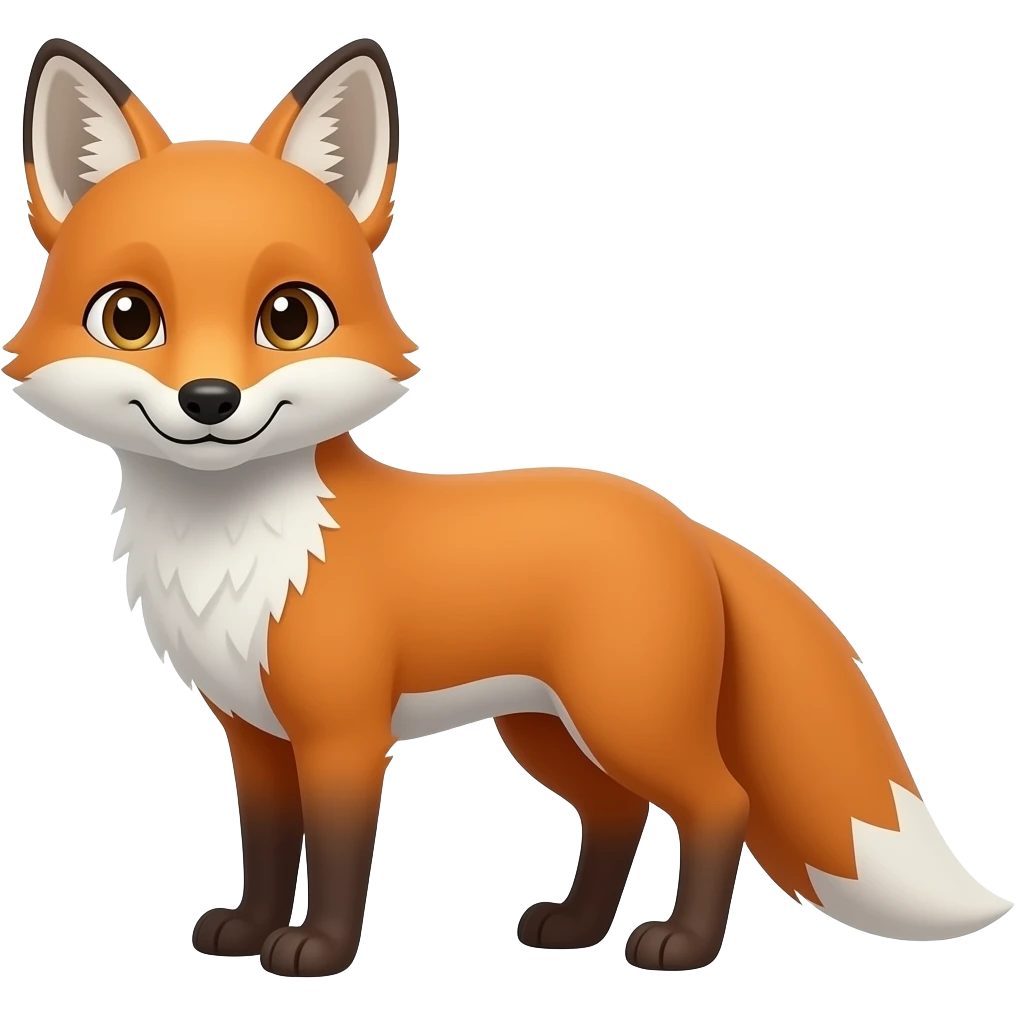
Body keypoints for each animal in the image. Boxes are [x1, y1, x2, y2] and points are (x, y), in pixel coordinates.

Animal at [5, 35, 1012, 979]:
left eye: (289, 317)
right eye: (129, 317)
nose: (209, 401)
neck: (235, 550)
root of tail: (685, 523)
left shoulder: (343, 732)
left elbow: (335, 854)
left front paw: (317, 951)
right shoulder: (252, 733)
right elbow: (266, 846)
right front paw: (247, 932)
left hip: (624, 717)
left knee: (719, 801)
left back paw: (680, 945)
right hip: (548, 731)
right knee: (617, 812)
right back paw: (574, 929)